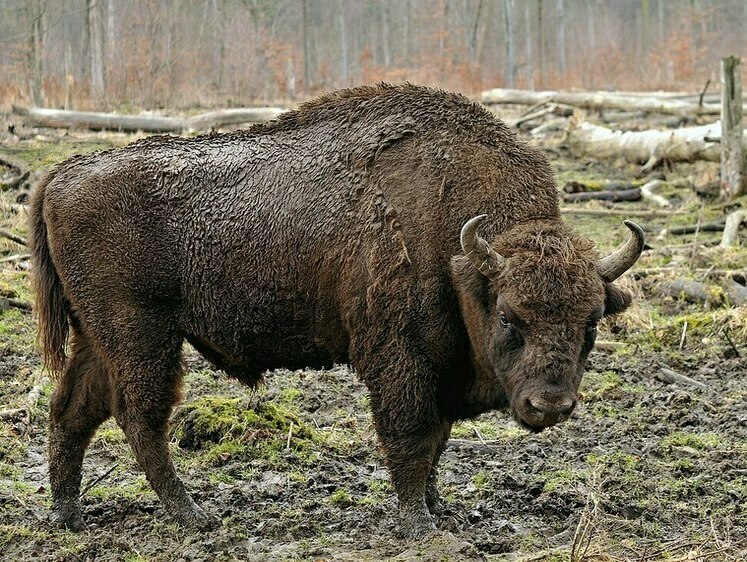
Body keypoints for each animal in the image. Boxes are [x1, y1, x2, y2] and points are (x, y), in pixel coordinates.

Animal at [30, 82, 644, 532]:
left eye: (592, 323)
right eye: (511, 317)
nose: (551, 404)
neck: (459, 251)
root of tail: (62, 173)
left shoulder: (439, 365)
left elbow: (437, 440)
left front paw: (439, 508)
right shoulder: (400, 359)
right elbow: (413, 435)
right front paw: (419, 522)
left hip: (98, 336)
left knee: (72, 410)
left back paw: (67, 515)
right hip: (142, 335)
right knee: (139, 416)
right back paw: (193, 515)